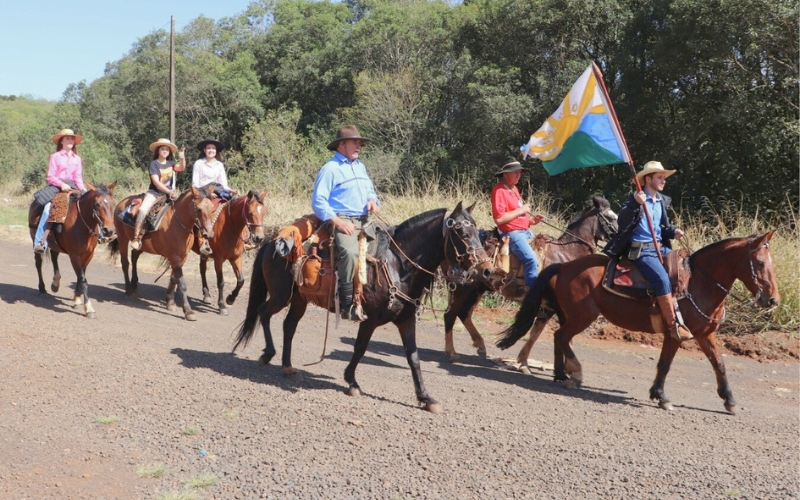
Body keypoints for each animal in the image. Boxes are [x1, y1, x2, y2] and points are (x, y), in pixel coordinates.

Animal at [27, 182, 117, 318]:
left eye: (112, 203)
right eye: (97, 204)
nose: (109, 230)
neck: (81, 224)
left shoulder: (88, 255)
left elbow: (81, 276)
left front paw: (77, 299)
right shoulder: (74, 255)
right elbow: (83, 279)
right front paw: (89, 308)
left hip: (56, 244)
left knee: (54, 256)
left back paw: (55, 283)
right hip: (35, 241)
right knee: (38, 263)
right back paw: (42, 289)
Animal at [109, 187, 217, 320]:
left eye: (212, 208)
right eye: (198, 209)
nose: (209, 234)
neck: (177, 222)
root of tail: (122, 202)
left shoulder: (182, 257)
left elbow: (174, 278)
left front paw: (170, 302)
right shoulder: (174, 257)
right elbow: (181, 283)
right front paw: (188, 311)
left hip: (141, 245)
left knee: (134, 255)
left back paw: (134, 286)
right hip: (122, 238)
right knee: (125, 262)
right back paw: (128, 290)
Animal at [231, 201, 496, 412]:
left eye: (477, 231)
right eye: (461, 232)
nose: (487, 270)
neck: (397, 264)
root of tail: (272, 242)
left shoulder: (405, 320)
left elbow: (413, 357)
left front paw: (425, 397)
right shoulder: (370, 319)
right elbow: (359, 348)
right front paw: (352, 382)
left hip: (299, 300)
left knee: (289, 326)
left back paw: (287, 366)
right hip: (280, 295)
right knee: (263, 313)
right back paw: (268, 354)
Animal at [444, 196, 620, 372]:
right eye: (611, 217)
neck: (567, 253)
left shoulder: (552, 308)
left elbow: (540, 333)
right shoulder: (552, 307)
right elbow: (541, 334)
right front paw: (524, 363)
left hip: (476, 290)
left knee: (464, 313)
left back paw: (480, 346)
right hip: (463, 289)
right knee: (451, 314)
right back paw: (451, 353)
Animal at [496, 233, 780, 414]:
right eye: (760, 263)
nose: (772, 300)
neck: (699, 283)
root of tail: (564, 267)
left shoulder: (704, 334)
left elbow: (719, 364)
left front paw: (729, 400)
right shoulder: (675, 334)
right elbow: (665, 364)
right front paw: (661, 396)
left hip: (570, 315)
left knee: (560, 337)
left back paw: (561, 374)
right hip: (582, 316)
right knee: (561, 336)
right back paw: (574, 372)